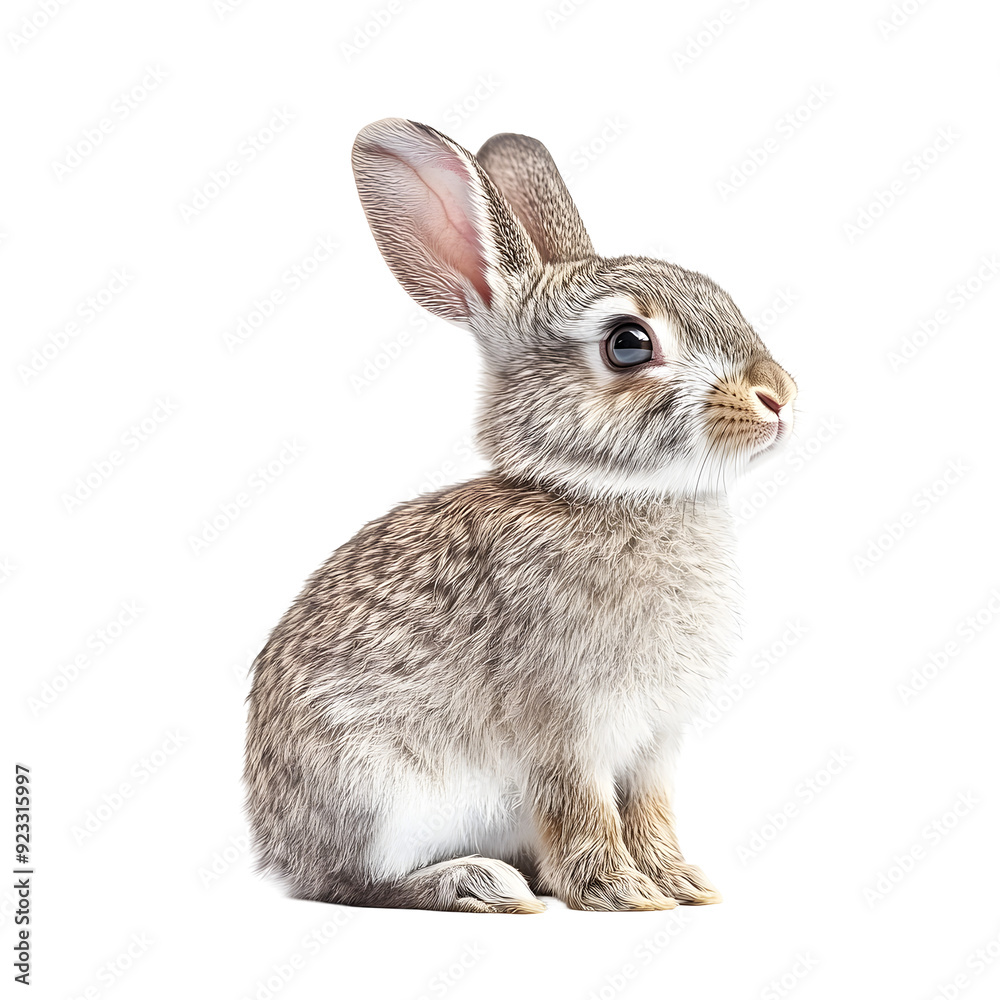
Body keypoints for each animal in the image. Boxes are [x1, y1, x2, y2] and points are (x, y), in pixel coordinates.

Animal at [244, 117, 797, 913]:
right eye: (628, 343)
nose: (779, 396)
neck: (606, 494)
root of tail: (279, 848)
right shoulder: (565, 727)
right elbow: (583, 810)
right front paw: (621, 892)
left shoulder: (655, 743)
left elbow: (650, 812)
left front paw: (682, 884)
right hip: (377, 789)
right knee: (356, 883)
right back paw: (478, 883)